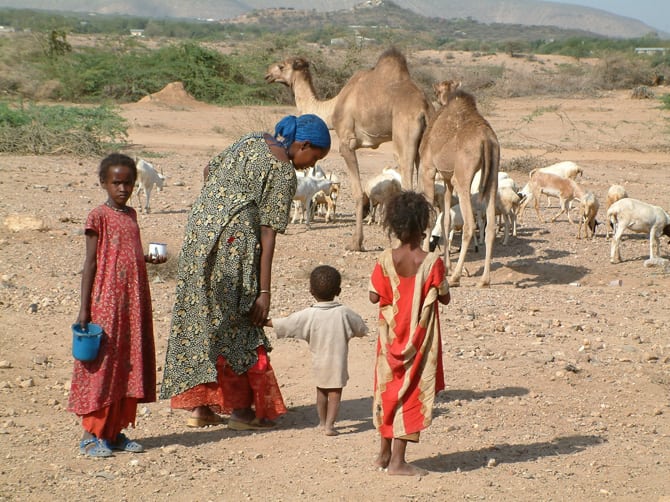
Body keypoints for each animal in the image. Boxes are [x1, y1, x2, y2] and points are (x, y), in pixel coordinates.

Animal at [266, 48, 434, 249]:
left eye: (281, 66)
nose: (267, 74)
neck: (331, 108)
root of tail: (424, 109)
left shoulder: (347, 143)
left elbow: (358, 194)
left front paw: (356, 243)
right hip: (426, 144)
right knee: (429, 195)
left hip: (404, 134)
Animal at [422, 82, 502, 286]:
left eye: (436, 91)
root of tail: (487, 140)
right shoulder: (447, 179)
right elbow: (446, 220)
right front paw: (446, 267)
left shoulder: (428, 169)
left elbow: (431, 216)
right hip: (493, 176)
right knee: (489, 227)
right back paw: (484, 280)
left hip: (463, 177)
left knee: (469, 225)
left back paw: (456, 276)